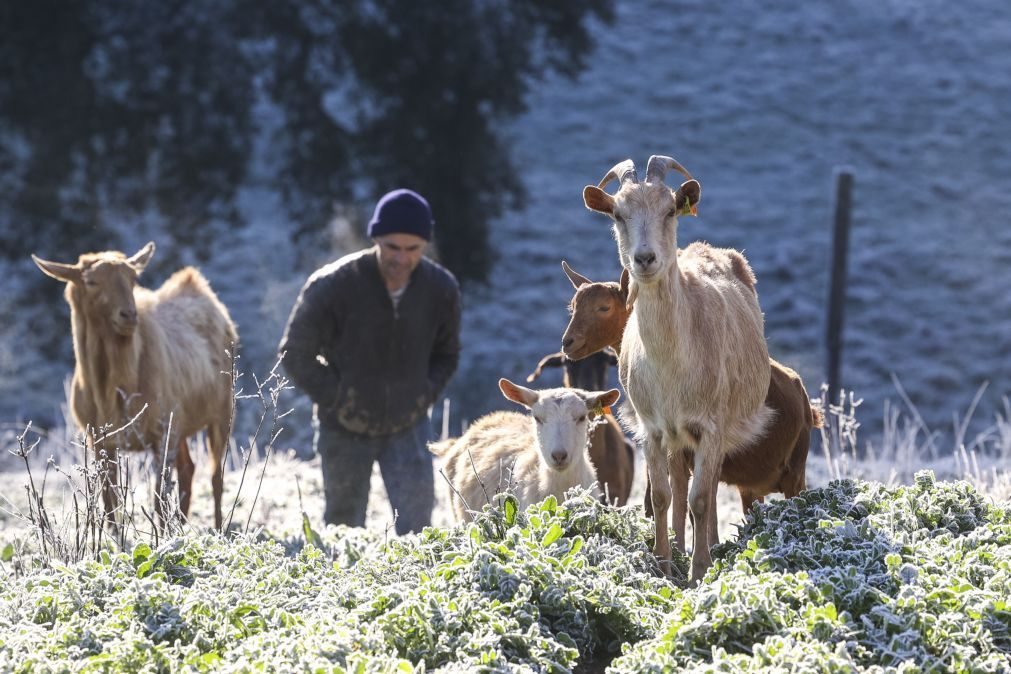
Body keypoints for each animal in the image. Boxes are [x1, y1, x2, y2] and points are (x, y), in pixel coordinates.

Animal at [32, 243, 238, 533]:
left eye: (133, 278)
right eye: (91, 281)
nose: (129, 315)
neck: (110, 390)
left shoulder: (162, 431)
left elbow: (158, 496)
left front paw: (162, 537)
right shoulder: (100, 439)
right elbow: (110, 499)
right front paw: (115, 537)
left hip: (220, 413)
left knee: (215, 476)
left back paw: (218, 530)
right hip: (181, 423)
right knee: (188, 468)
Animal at [558, 260, 824, 541]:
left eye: (604, 307)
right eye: (573, 306)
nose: (568, 342)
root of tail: (805, 402)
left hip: (795, 473)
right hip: (753, 485)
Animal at [582, 155, 768, 582]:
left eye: (669, 210)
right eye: (618, 214)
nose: (645, 259)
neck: (671, 368)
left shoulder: (711, 424)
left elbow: (701, 497)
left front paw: (700, 571)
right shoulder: (652, 428)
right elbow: (663, 495)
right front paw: (664, 565)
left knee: (707, 488)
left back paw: (708, 546)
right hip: (675, 436)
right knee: (680, 483)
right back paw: (682, 546)